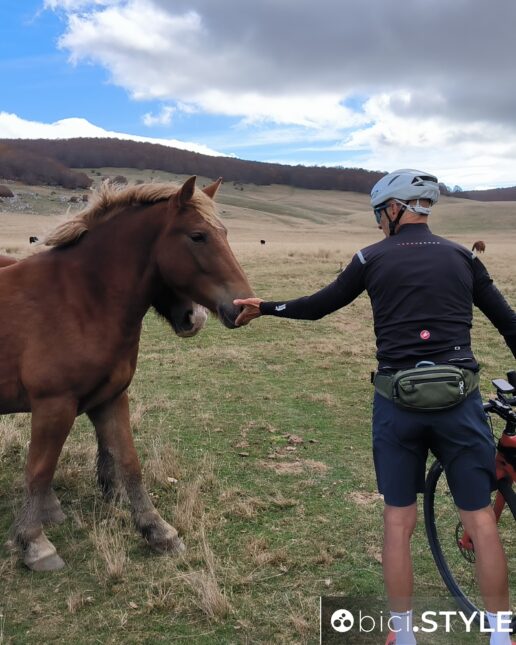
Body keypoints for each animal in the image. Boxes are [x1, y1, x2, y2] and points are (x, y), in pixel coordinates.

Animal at [0, 175, 253, 571]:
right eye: (198, 236)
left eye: (225, 233)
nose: (243, 307)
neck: (81, 299)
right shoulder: (53, 406)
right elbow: (38, 470)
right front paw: (34, 543)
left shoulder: (110, 399)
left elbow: (129, 464)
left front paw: (157, 529)